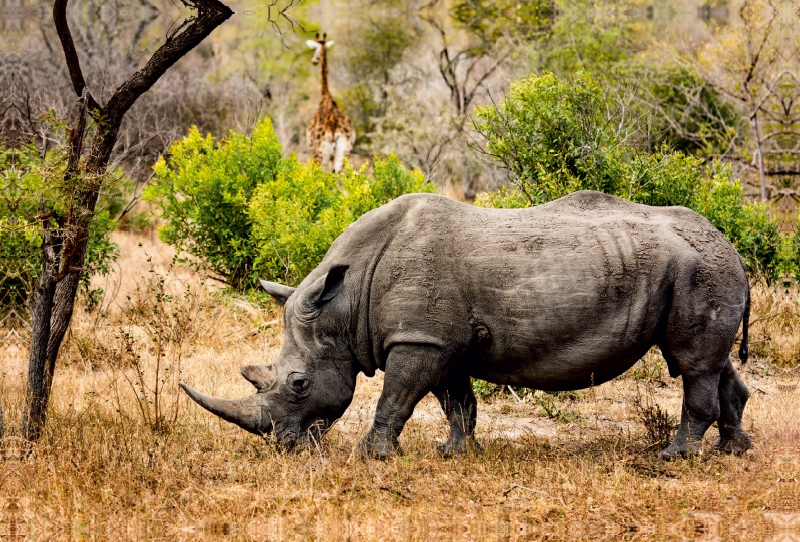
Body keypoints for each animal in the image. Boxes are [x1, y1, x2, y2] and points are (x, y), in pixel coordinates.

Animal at [306, 33, 356, 173]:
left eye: (313, 49)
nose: (313, 61)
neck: (325, 95)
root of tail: (334, 129)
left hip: (320, 155)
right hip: (344, 154)